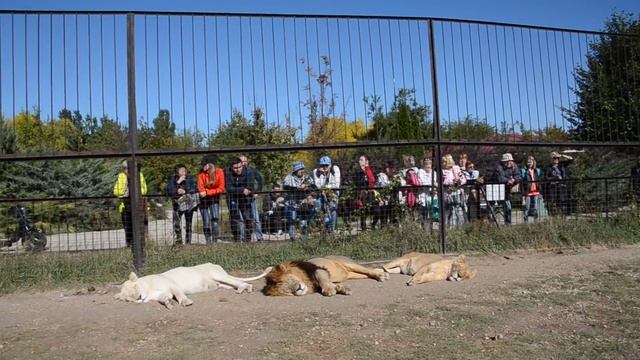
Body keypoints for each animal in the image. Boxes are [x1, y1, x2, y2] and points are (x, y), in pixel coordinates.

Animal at [115, 262, 272, 310]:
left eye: (135, 288)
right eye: (128, 298)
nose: (139, 298)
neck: (148, 288)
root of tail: (216, 265)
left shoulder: (172, 284)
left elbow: (179, 294)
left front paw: (186, 302)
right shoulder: (159, 294)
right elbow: (163, 298)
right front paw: (168, 303)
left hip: (218, 275)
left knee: (238, 282)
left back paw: (244, 288)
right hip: (222, 284)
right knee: (231, 284)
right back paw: (243, 288)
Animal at [262, 255, 390, 296]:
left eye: (287, 280)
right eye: (287, 291)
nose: (298, 289)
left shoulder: (319, 270)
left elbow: (322, 280)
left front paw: (329, 290)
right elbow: (332, 284)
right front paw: (341, 288)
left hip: (350, 264)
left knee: (368, 270)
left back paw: (381, 275)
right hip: (352, 274)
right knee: (366, 274)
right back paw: (382, 274)